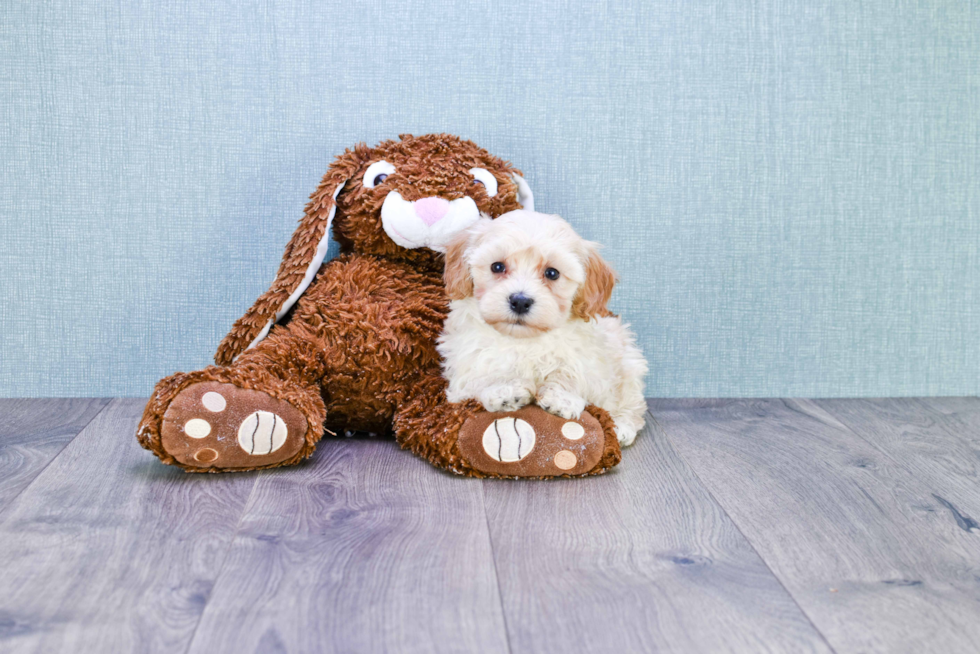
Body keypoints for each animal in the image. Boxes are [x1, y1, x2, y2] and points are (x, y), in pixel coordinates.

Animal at [440, 210, 648, 446]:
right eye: (497, 266)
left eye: (552, 273)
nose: (520, 301)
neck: (525, 340)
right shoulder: (465, 365)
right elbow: (481, 376)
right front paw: (505, 390)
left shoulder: (590, 361)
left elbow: (571, 373)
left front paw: (562, 398)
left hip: (630, 364)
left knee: (632, 405)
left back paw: (622, 427)